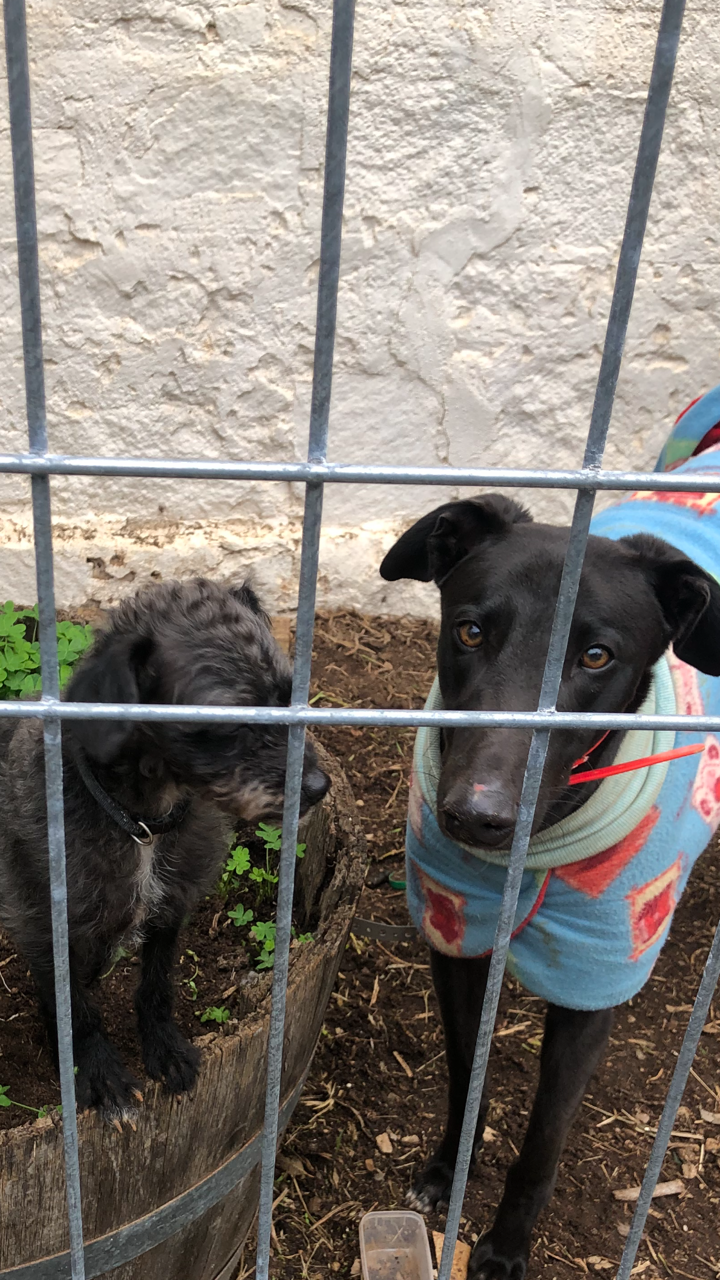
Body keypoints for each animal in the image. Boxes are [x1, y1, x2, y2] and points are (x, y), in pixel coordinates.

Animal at [0, 578, 330, 1125]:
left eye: (288, 699)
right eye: (228, 722)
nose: (320, 788)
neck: (143, 824)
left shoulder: (170, 909)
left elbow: (156, 986)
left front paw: (164, 1047)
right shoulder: (44, 923)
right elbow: (74, 1009)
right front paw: (98, 1071)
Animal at [380, 386, 720, 1279]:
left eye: (596, 656)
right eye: (469, 630)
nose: (476, 816)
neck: (535, 855)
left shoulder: (592, 986)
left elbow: (545, 1138)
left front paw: (504, 1247)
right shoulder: (457, 938)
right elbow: (466, 1072)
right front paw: (446, 1172)